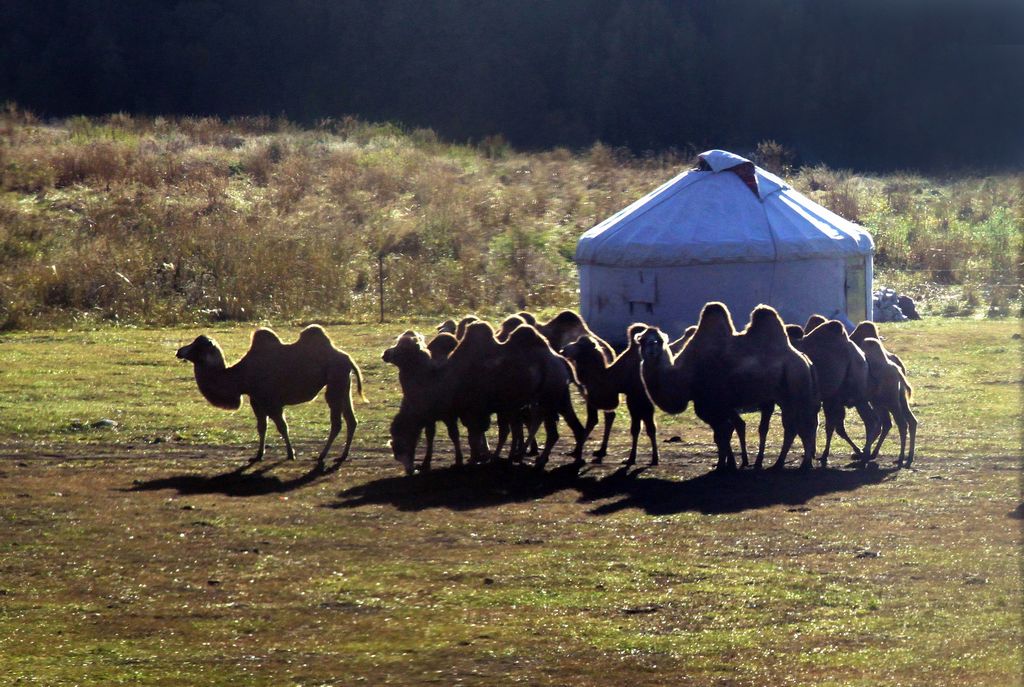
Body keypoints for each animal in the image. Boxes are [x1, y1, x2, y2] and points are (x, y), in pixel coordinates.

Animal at [176, 325, 364, 464]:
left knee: (337, 423)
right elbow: (262, 427)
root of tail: (348, 359)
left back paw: (322, 455)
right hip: (343, 385)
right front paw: (258, 455)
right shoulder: (256, 400)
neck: (241, 375)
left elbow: (282, 427)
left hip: (335, 383)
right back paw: (342, 455)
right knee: (351, 420)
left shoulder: (271, 401)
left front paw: (291, 454)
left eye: (196, 345)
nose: (179, 351)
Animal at [634, 303, 819, 470]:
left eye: (659, 341)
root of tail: (805, 361)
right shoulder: (714, 405)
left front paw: (724, 464)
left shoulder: (710, 404)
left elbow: (722, 433)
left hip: (796, 386)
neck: (686, 373)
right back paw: (782, 463)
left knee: (804, 423)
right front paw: (728, 463)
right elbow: (724, 433)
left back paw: (801, 464)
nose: (651, 351)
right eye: (642, 341)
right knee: (794, 425)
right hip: (784, 395)